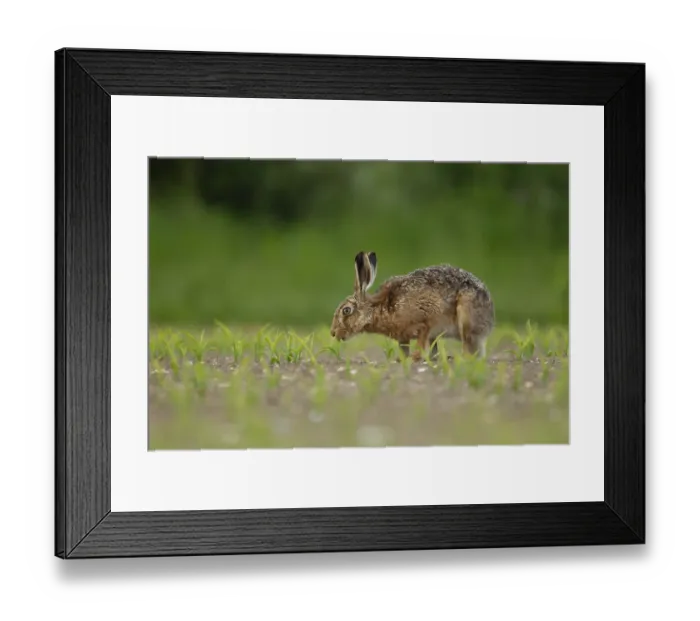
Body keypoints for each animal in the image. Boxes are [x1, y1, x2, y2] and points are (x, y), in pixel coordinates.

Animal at [330, 251, 495, 361]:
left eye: (346, 310)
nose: (333, 333)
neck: (377, 309)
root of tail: (489, 321)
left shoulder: (425, 321)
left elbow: (421, 343)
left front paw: (414, 358)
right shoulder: (403, 337)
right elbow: (404, 349)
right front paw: (401, 359)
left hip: (465, 316)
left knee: (469, 346)